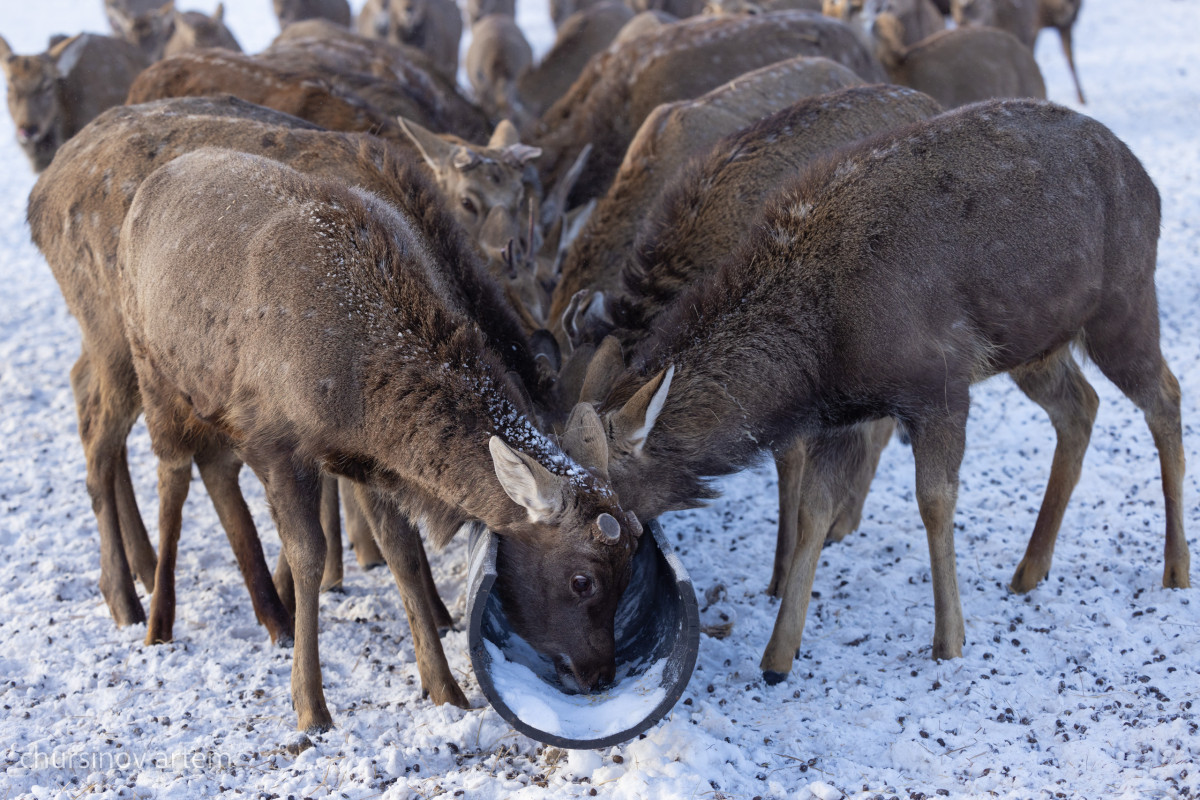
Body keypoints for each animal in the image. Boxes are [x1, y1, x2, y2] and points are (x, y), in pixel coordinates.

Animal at [119, 145, 648, 734]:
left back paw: (269, 619)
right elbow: (308, 557)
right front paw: (310, 707)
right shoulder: (276, 440)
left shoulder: (370, 462)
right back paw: (157, 621)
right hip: (152, 368)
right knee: (172, 475)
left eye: (630, 569)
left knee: (212, 468)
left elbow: (404, 556)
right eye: (583, 581)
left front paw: (445, 689)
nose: (600, 673)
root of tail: (150, 184)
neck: (359, 391)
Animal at [573, 98, 1190, 690]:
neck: (822, 352)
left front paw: (949, 640)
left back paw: (1176, 568)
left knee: (1166, 394)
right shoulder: (841, 417)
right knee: (1082, 405)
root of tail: (1149, 183)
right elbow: (815, 511)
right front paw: (777, 658)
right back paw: (1030, 568)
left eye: (609, 511)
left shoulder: (941, 383)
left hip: (1124, 302)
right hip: (1037, 345)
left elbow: (934, 501)